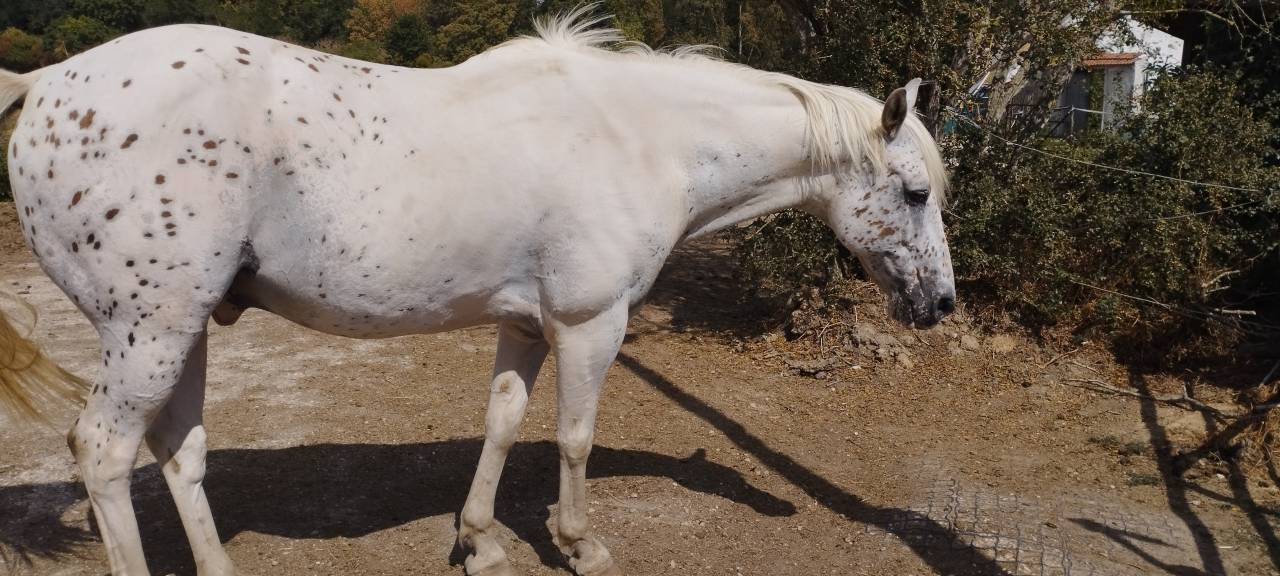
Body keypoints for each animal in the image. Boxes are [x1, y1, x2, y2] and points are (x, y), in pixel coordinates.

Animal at [0, 7, 952, 576]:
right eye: (915, 192)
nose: (940, 304)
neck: (640, 135)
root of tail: (45, 84)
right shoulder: (590, 324)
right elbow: (574, 437)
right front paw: (579, 543)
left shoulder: (526, 326)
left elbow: (501, 422)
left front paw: (481, 540)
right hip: (150, 332)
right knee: (105, 453)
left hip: (183, 330)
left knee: (179, 452)